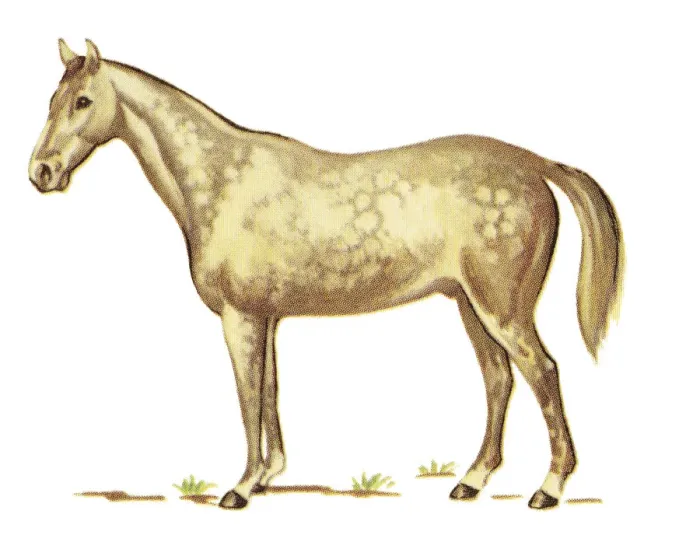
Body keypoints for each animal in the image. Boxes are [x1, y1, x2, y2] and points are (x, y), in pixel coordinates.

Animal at [29, 39, 624, 510]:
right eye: (52, 99)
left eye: (83, 100)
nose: (41, 172)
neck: (221, 178)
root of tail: (536, 164)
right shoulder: (266, 317)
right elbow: (269, 391)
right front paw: (267, 476)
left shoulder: (240, 317)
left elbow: (247, 395)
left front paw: (239, 488)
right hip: (468, 304)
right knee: (499, 379)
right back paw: (471, 482)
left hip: (502, 308)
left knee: (543, 372)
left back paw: (548, 489)